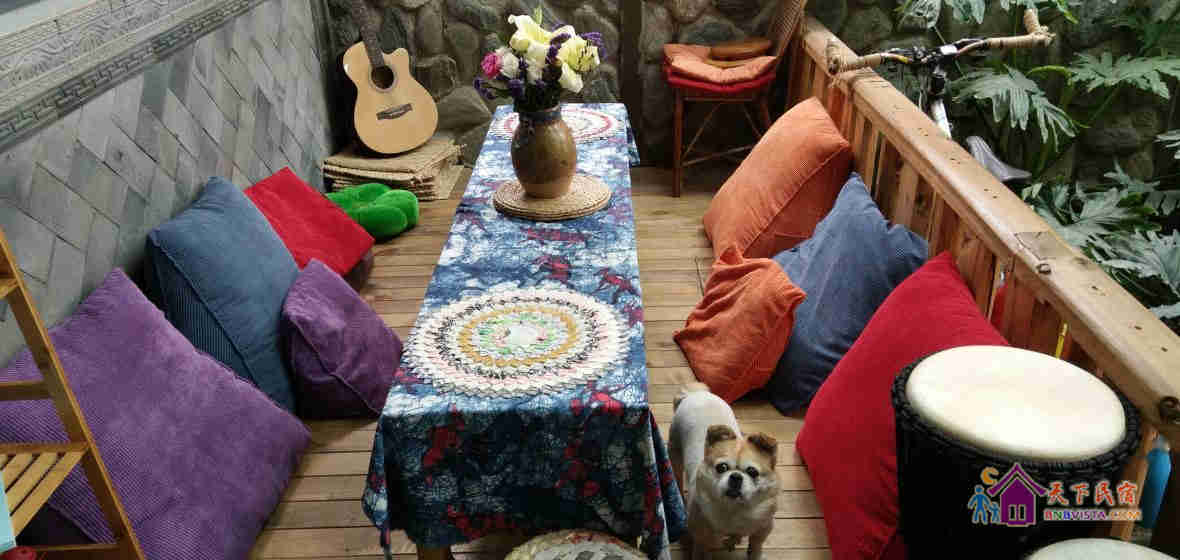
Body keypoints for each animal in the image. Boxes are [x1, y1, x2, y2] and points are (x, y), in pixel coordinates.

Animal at [669, 382, 779, 560]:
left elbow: (756, 544)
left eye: (753, 472)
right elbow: (700, 550)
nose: (736, 477)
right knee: (677, 475)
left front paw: (745, 546)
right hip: (675, 452)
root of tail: (695, 394)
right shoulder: (701, 535)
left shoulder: (763, 527)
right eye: (722, 468)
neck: (734, 509)